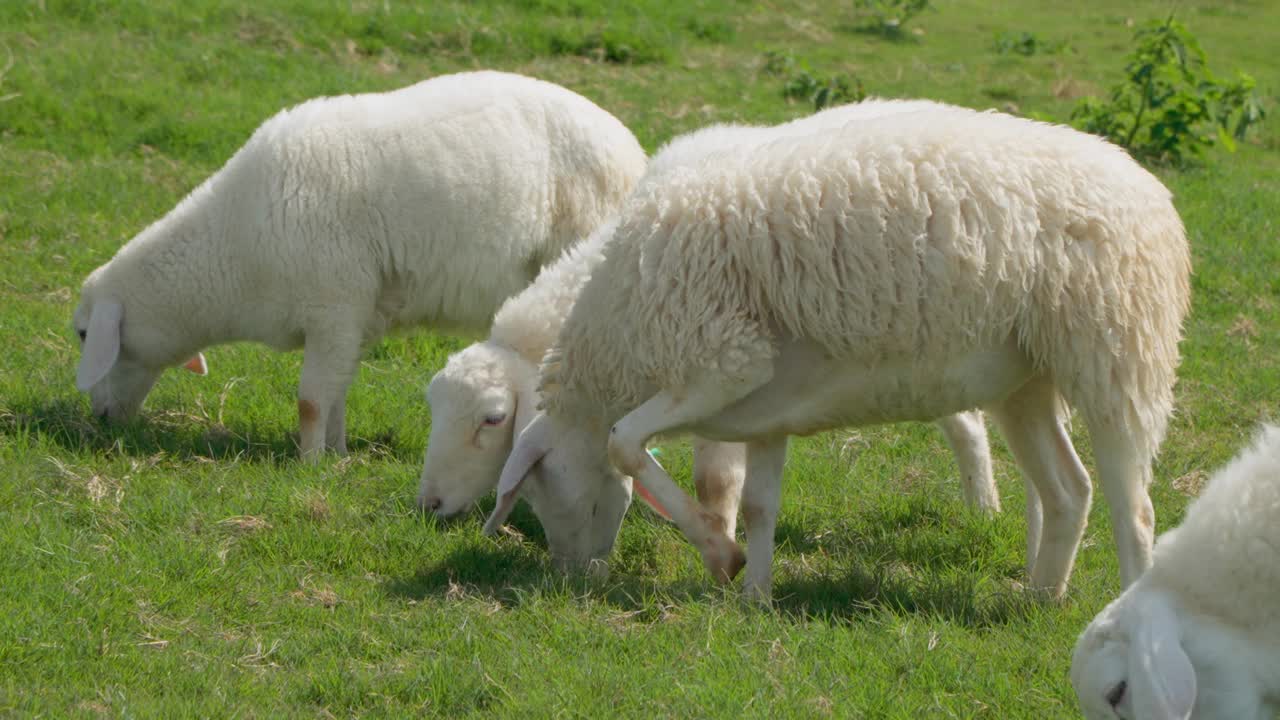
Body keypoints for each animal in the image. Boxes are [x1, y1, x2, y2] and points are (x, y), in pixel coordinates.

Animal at [73, 70, 645, 456]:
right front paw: (337, 454)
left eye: (83, 335)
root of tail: (632, 151)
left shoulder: (332, 305)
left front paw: (306, 465)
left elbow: (309, 398)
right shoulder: (352, 319)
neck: (233, 252)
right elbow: (336, 392)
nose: (99, 420)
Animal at [481, 98, 1187, 597]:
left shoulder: (725, 362)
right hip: (1025, 381)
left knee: (1135, 508)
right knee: (1069, 491)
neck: (620, 333)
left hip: (1114, 354)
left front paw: (719, 554)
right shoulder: (762, 412)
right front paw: (754, 593)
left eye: (539, 489)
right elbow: (760, 504)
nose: (569, 579)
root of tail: (1150, 190)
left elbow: (624, 443)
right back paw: (1037, 597)